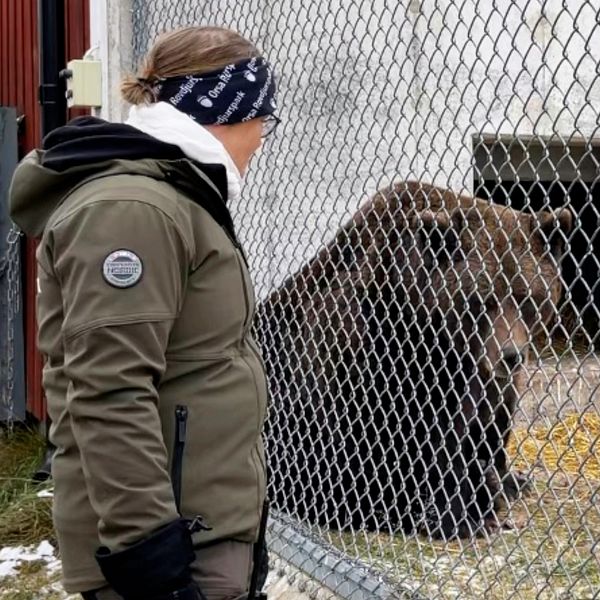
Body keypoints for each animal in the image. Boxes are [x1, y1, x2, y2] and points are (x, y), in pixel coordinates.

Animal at [262, 182, 572, 540]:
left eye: (528, 298)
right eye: (482, 300)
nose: (511, 354)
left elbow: (488, 418)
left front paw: (502, 481)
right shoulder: (381, 351)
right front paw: (460, 514)